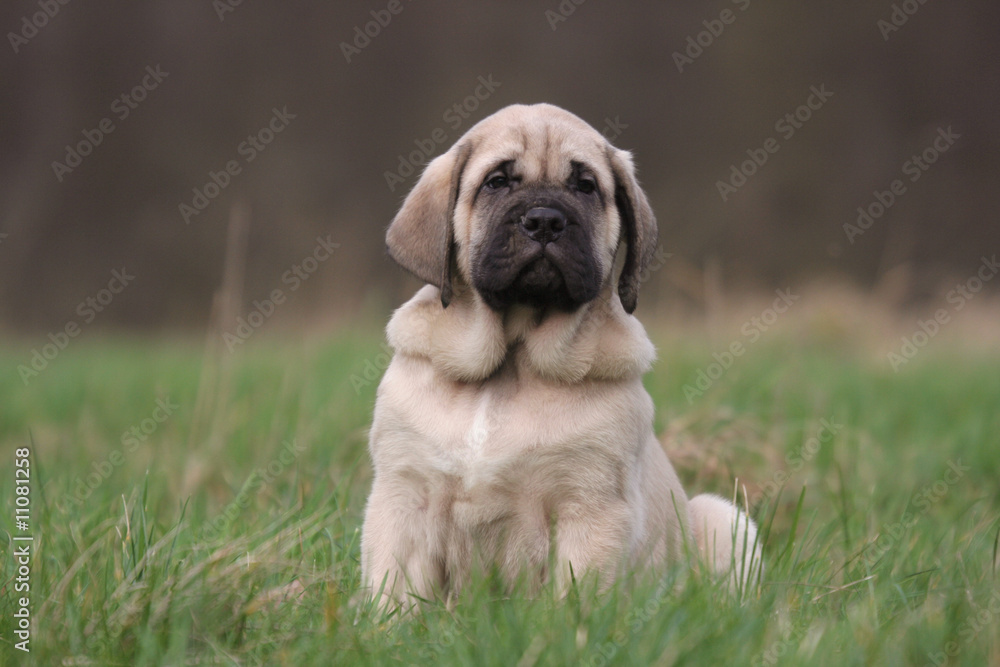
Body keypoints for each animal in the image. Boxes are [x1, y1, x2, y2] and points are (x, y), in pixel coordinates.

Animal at [364, 102, 760, 608]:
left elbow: (576, 599)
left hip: (724, 519)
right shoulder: (403, 496)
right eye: (497, 181)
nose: (545, 221)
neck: (511, 362)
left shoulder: (589, 507)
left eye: (585, 186)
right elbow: (392, 593)